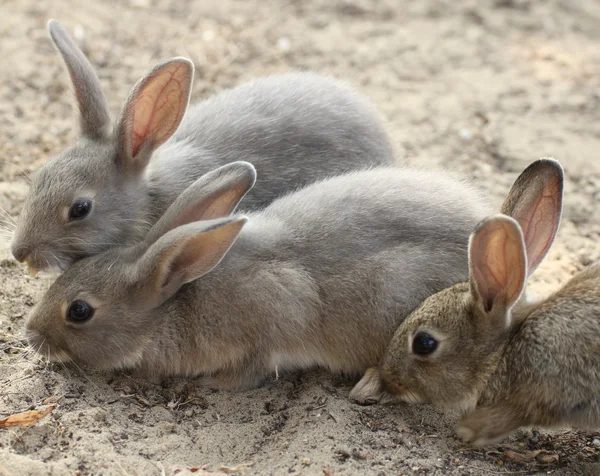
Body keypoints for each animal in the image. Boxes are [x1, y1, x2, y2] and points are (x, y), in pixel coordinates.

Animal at [23, 160, 492, 390]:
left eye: (79, 311)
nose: (31, 335)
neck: (175, 300)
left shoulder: (272, 316)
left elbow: (254, 367)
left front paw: (216, 384)